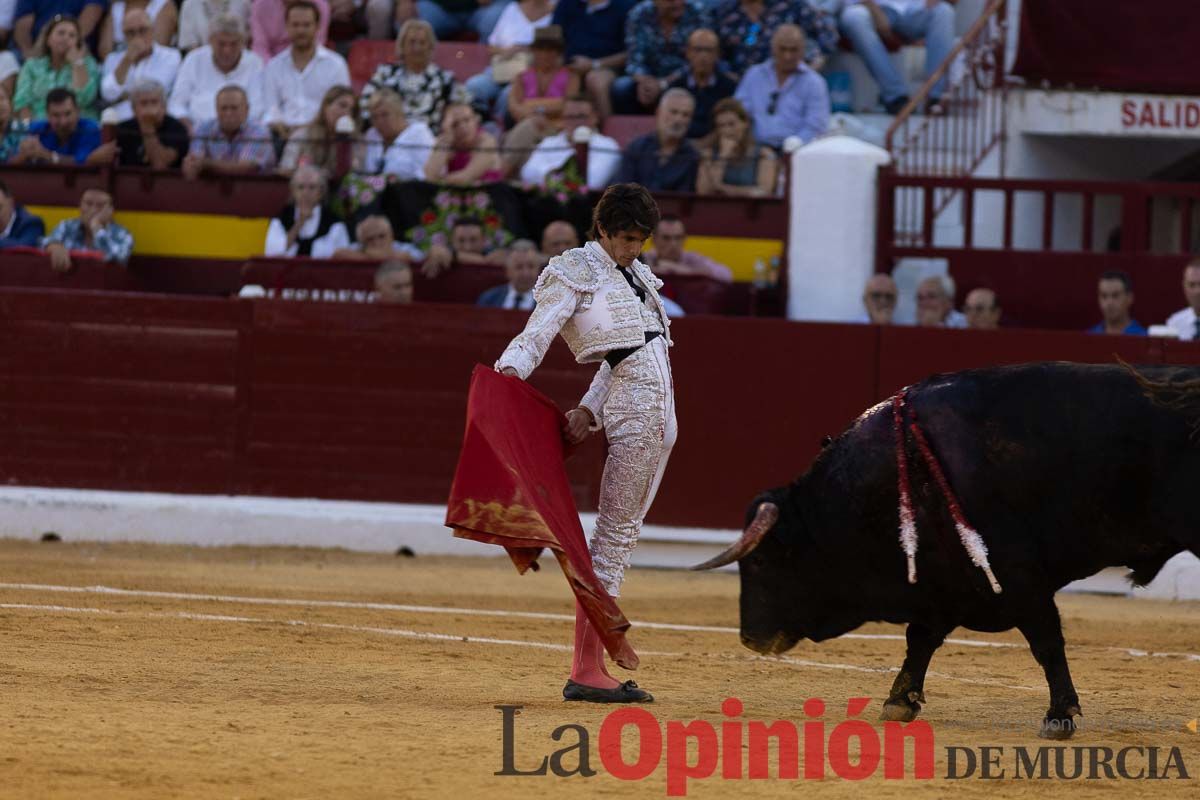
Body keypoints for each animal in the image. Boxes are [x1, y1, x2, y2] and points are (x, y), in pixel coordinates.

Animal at [696, 362, 1200, 738]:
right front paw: (898, 702)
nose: (750, 637)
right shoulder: (942, 583)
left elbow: (1046, 642)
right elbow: (920, 641)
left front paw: (1060, 716)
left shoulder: (1018, 578)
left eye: (760, 560)